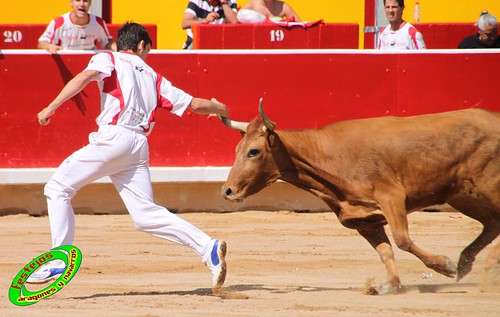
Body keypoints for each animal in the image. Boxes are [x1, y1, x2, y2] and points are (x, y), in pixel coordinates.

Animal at [221, 99, 500, 294]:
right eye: (236, 150)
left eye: (254, 151)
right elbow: (385, 251)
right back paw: (467, 264)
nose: (227, 190)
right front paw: (390, 285)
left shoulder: (391, 198)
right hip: (463, 195)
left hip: (488, 187)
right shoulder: (364, 221)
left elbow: (402, 240)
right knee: (491, 224)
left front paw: (444, 265)